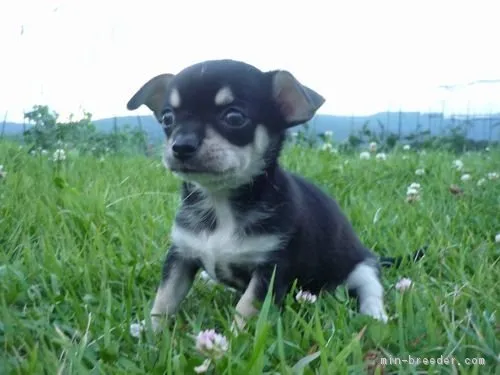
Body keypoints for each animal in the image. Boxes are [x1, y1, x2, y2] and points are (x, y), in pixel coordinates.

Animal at [128, 60, 390, 334]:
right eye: (168, 118)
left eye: (234, 117)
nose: (180, 146)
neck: (220, 201)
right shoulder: (181, 254)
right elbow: (165, 296)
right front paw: (150, 332)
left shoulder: (270, 269)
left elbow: (246, 307)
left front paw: (234, 340)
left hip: (362, 266)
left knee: (371, 288)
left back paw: (375, 315)